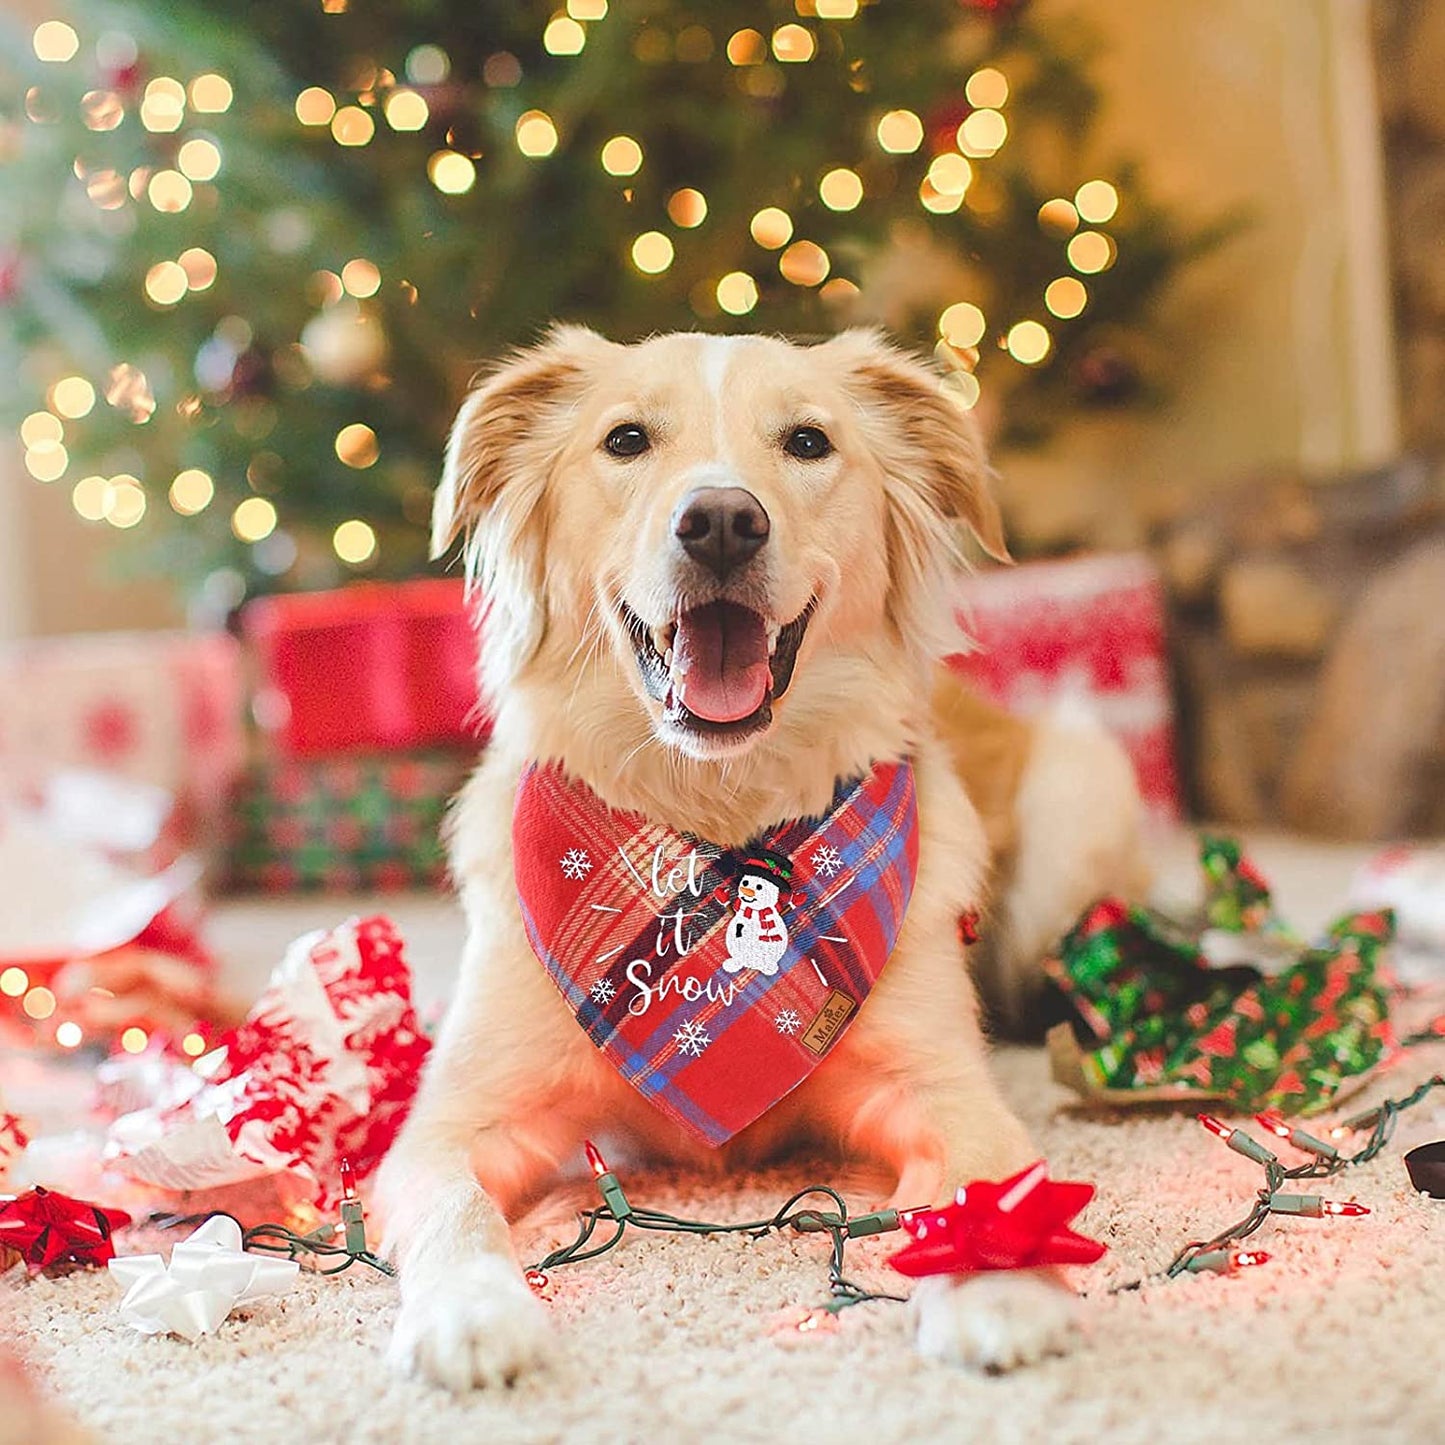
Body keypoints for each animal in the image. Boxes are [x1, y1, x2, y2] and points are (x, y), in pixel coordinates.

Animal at [378, 325, 1144, 1387]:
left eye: (808, 442)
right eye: (625, 440)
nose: (721, 523)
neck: (719, 826)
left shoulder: (941, 1086)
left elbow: (984, 1187)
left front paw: (995, 1289)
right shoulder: (450, 1121)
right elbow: (455, 1206)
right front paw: (471, 1311)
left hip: (1081, 784)